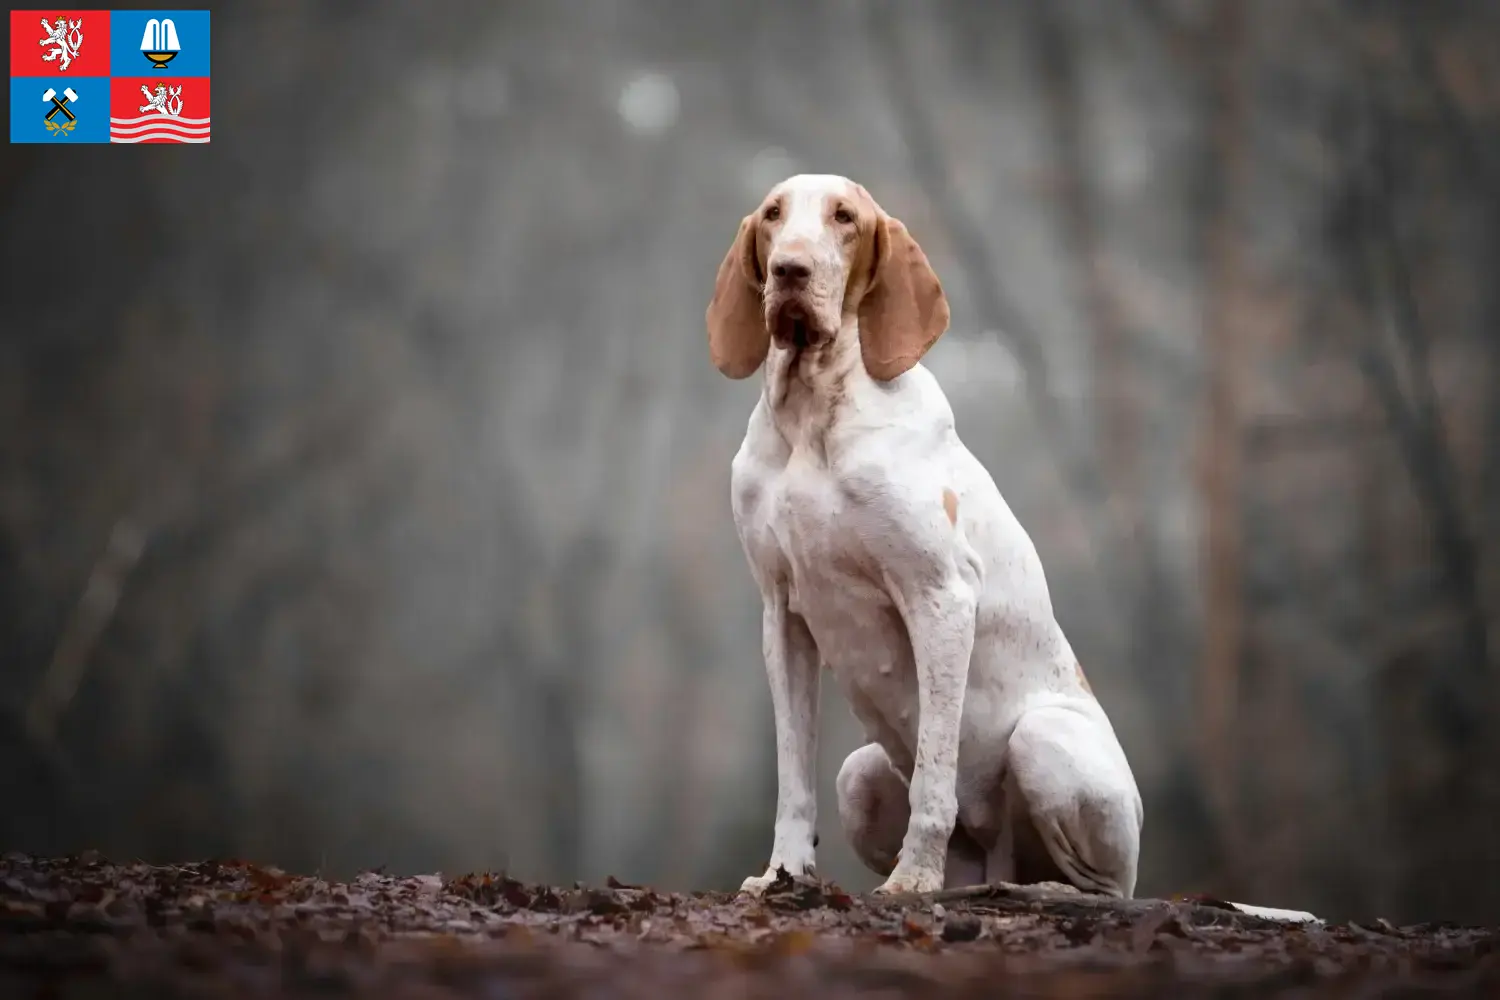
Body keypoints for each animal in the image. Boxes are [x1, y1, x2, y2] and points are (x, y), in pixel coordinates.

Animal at [708, 173, 1140, 899]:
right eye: (773, 215)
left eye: (844, 217)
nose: (791, 270)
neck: (814, 412)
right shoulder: (783, 616)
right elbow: (793, 777)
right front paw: (783, 873)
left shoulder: (940, 598)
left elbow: (936, 775)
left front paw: (912, 879)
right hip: (860, 775)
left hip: (1044, 741)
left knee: (1105, 888)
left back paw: (1039, 890)